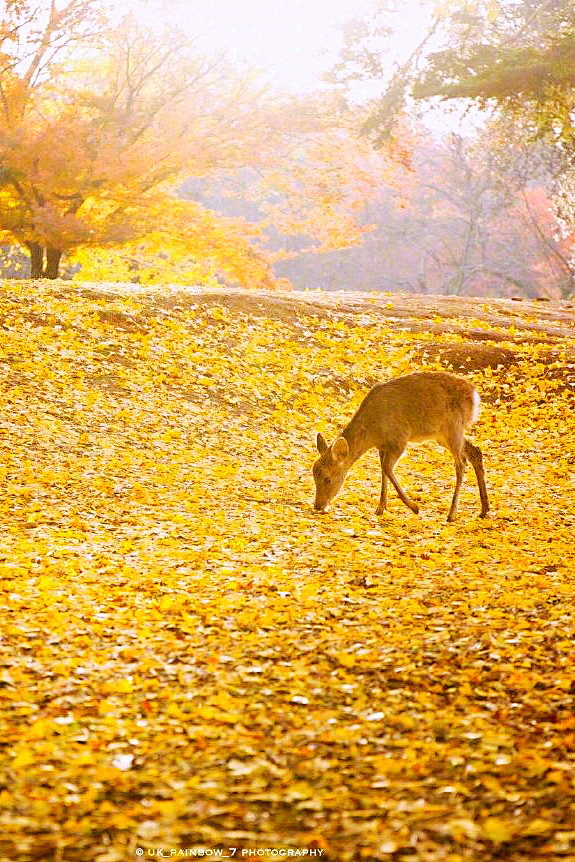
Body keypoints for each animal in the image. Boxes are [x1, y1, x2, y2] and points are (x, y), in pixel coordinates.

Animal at [312, 371, 489, 523]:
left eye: (328, 479)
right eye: (314, 475)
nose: (318, 506)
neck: (373, 432)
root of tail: (475, 396)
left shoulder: (399, 439)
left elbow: (387, 468)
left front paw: (414, 507)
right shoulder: (382, 446)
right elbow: (383, 470)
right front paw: (380, 508)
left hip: (453, 427)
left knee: (461, 465)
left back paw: (451, 514)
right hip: (442, 435)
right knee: (475, 451)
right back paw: (484, 509)